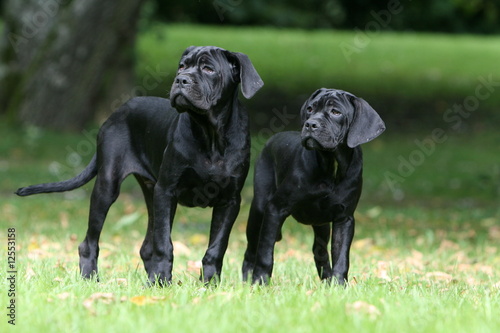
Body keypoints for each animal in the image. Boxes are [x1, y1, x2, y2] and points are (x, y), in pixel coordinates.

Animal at [17, 45, 264, 284]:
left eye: (209, 69)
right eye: (182, 66)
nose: (181, 80)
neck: (209, 134)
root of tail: (117, 111)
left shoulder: (229, 200)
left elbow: (216, 248)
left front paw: (209, 284)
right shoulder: (166, 191)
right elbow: (164, 244)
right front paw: (161, 282)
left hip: (151, 194)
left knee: (146, 247)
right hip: (108, 187)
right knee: (90, 242)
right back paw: (91, 278)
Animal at [242, 89, 386, 286]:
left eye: (336, 112)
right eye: (310, 109)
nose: (311, 124)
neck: (331, 165)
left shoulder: (344, 218)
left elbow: (341, 256)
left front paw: (339, 284)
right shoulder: (275, 208)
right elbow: (265, 252)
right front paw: (260, 281)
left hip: (322, 224)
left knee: (320, 252)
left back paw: (327, 279)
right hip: (258, 209)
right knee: (251, 249)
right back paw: (247, 280)